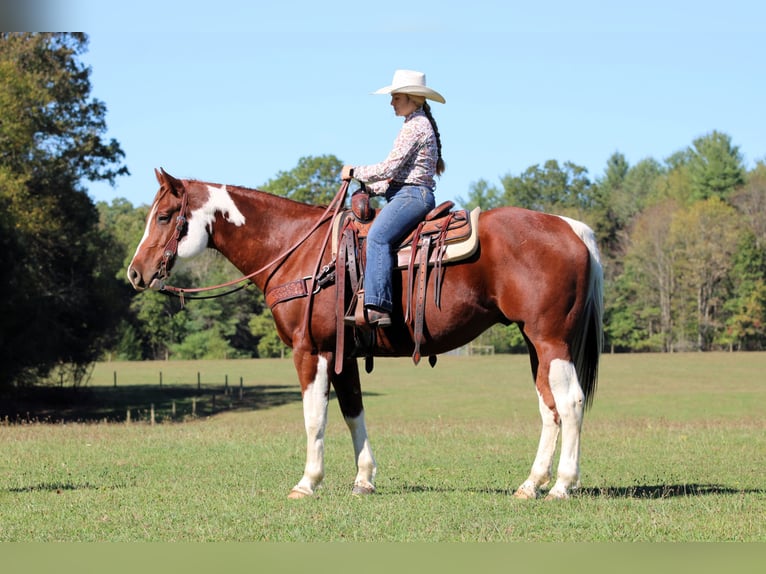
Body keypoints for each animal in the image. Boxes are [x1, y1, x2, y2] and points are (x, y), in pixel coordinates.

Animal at [127, 168, 603, 500]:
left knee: (571, 403)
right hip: (536, 344)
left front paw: (307, 482)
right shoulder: (344, 354)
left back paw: (562, 485)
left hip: (551, 341)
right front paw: (364, 480)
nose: (135, 273)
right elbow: (352, 411)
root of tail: (571, 228)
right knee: (550, 408)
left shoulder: (311, 351)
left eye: (165, 216)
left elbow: (315, 417)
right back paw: (531, 484)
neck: (299, 249)